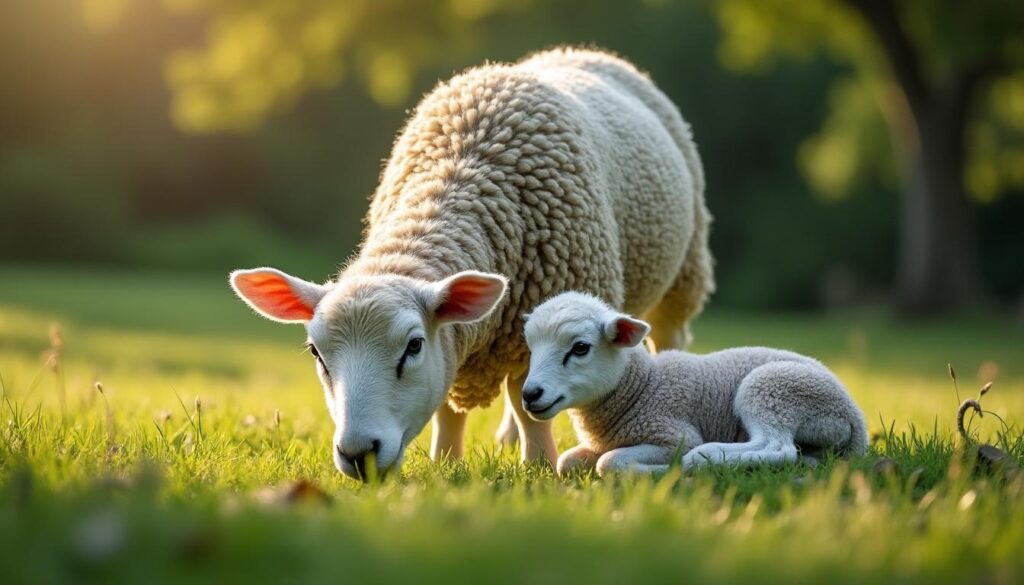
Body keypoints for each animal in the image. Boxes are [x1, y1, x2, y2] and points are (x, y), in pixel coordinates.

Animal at [228, 47, 714, 480]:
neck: (456, 176)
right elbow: (452, 406)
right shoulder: (464, 337)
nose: (358, 454)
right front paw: (445, 462)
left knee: (669, 334)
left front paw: (538, 467)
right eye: (316, 352)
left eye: (413, 346)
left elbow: (528, 402)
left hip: (684, 274)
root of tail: (581, 51)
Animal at [521, 292, 868, 476]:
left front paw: (663, 471)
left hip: (773, 390)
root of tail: (855, 418)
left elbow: (610, 462)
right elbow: (566, 462)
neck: (640, 387)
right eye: (530, 348)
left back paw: (706, 458)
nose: (530, 394)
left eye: (580, 348)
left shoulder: (673, 435)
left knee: (778, 447)